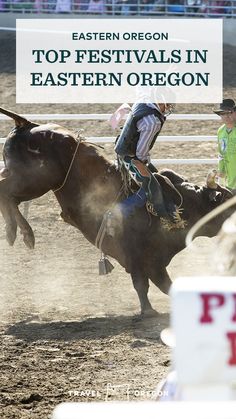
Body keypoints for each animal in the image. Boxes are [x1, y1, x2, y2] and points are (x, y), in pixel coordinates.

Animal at [0, 106, 233, 316]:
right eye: (227, 200)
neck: (184, 204)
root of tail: (27, 123)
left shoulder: (155, 261)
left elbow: (165, 285)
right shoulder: (138, 255)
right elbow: (142, 283)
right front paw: (148, 311)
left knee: (9, 195)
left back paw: (15, 232)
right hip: (34, 179)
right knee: (5, 191)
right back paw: (23, 233)